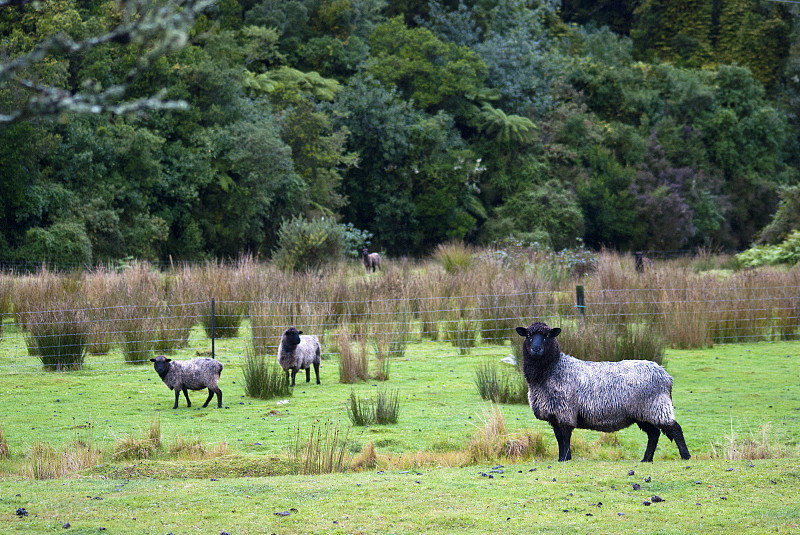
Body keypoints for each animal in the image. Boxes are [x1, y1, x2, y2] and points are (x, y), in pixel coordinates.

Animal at [516, 320, 692, 462]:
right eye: (529, 335)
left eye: (546, 335)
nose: (536, 349)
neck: (553, 368)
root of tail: (665, 375)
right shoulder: (555, 414)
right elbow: (559, 438)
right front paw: (562, 458)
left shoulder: (565, 411)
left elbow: (565, 437)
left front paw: (565, 458)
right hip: (642, 412)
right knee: (654, 434)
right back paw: (646, 459)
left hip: (657, 406)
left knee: (675, 428)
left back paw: (685, 456)